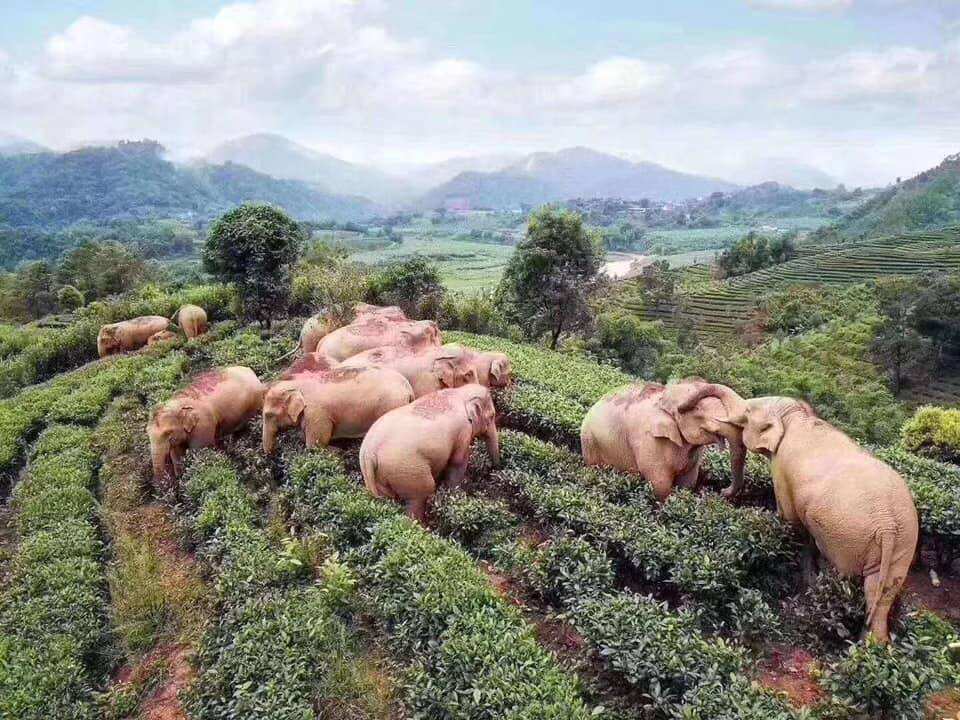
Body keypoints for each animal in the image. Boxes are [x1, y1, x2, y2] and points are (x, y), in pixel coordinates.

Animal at [262, 368, 412, 452]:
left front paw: (337, 451)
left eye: (269, 415)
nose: (272, 453)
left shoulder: (316, 414)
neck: (297, 385)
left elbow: (315, 446)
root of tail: (407, 387)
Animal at [356, 382, 498, 524]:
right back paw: (420, 526)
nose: (494, 469)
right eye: (492, 416)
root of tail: (368, 454)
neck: (460, 392)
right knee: (419, 497)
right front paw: (453, 497)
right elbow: (457, 462)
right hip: (408, 471)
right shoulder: (463, 431)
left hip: (379, 477)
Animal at [576, 376, 752, 500]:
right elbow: (660, 484)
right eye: (697, 409)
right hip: (590, 442)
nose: (721, 490)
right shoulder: (648, 440)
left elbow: (687, 483)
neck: (663, 397)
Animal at [720, 394, 924, 640]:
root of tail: (887, 525)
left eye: (748, 412)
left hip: (847, 537)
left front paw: (806, 578)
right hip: (904, 541)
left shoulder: (781, 470)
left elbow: (790, 519)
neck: (795, 416)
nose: (722, 492)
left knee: (844, 574)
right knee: (880, 589)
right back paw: (870, 644)